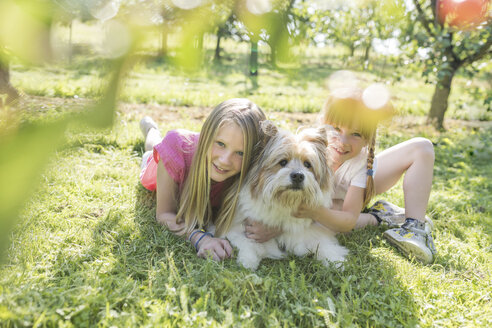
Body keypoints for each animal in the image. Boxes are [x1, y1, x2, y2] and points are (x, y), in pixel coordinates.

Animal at [225, 121, 348, 270]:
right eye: (283, 162)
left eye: (307, 164)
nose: (298, 176)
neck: (286, 202)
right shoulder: (235, 228)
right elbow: (247, 242)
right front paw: (248, 261)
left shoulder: (313, 232)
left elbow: (324, 245)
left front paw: (337, 262)